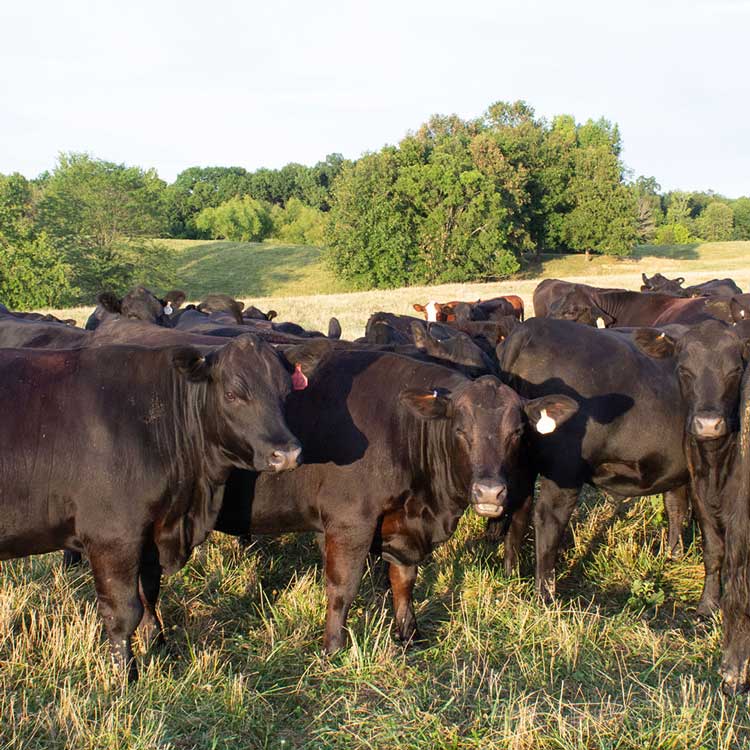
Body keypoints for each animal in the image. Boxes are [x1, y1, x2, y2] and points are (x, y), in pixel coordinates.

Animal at [0, 334, 327, 679]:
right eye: (231, 393)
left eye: (285, 393)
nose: (287, 454)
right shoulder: (112, 537)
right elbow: (123, 612)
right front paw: (126, 676)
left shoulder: (151, 532)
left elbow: (149, 594)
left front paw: (158, 645)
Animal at [210, 348, 577, 651]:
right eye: (460, 429)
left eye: (517, 432)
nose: (490, 492)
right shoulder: (349, 521)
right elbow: (343, 587)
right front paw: (333, 648)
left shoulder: (403, 527)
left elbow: (404, 580)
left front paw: (409, 634)